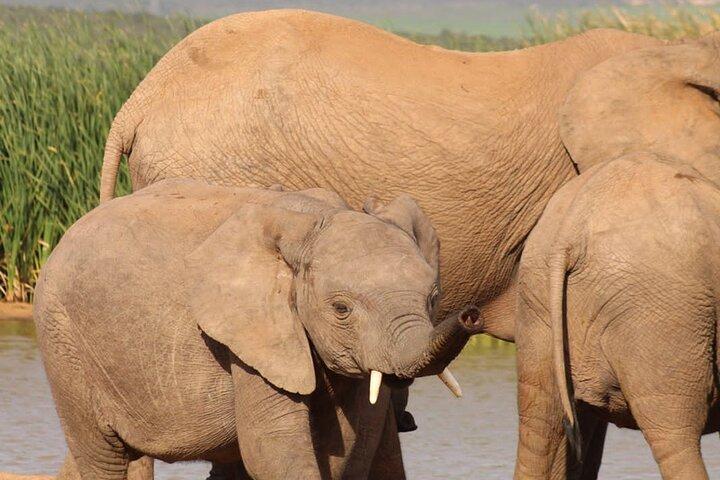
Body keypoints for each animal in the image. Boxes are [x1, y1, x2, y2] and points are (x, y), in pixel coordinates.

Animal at [34, 179, 482, 480]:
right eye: (341, 309)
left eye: (433, 297)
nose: (472, 316)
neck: (313, 220)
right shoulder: (248, 334)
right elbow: (273, 447)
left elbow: (350, 446)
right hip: (63, 340)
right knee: (103, 456)